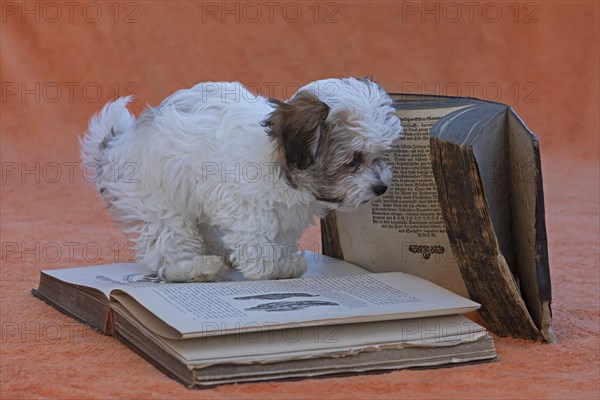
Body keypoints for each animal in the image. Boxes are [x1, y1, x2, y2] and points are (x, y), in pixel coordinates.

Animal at [81, 79, 404, 282]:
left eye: (380, 156)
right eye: (353, 159)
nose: (381, 187)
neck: (278, 160)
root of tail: (115, 147)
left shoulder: (286, 213)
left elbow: (281, 235)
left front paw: (285, 262)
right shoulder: (240, 199)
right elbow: (256, 233)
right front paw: (267, 266)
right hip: (155, 201)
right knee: (168, 240)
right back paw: (195, 267)